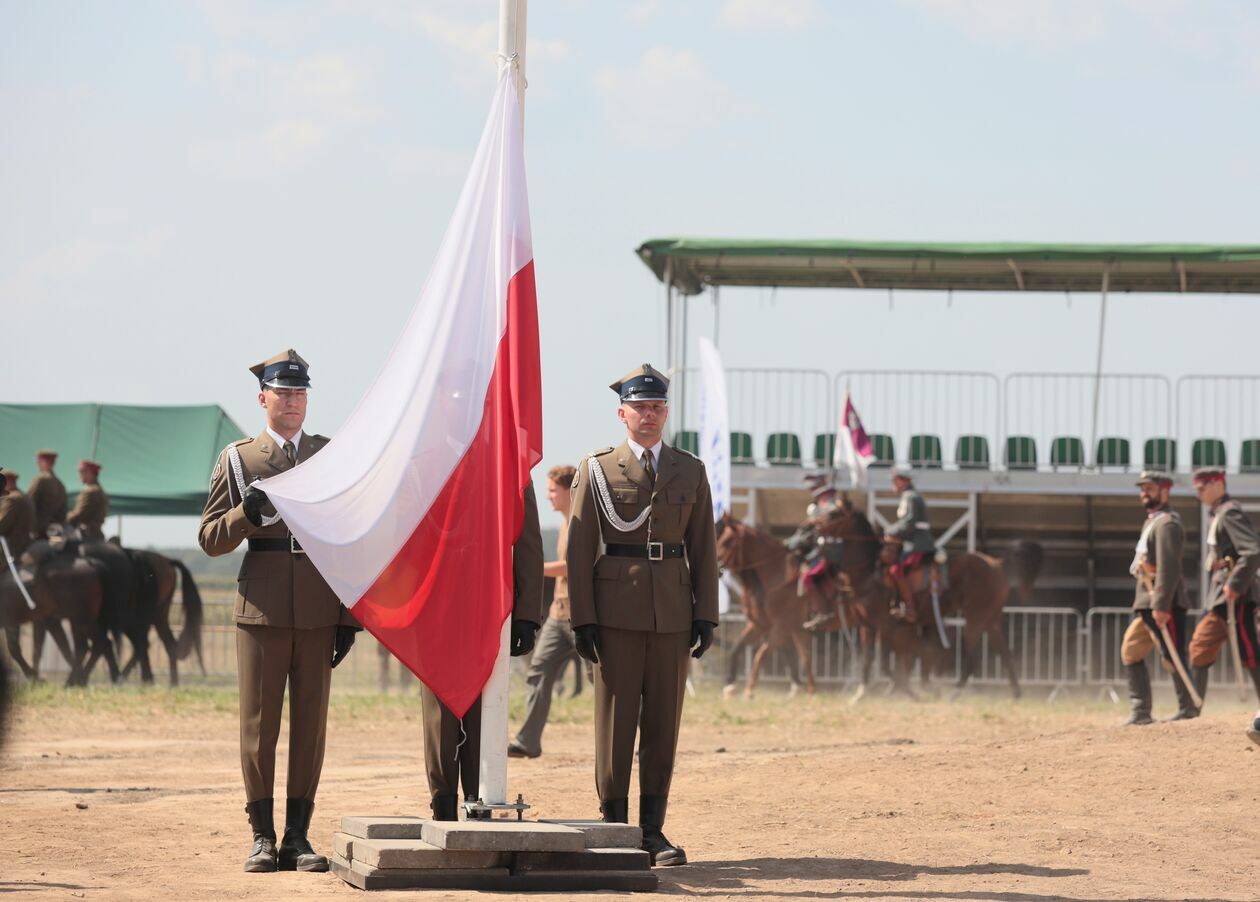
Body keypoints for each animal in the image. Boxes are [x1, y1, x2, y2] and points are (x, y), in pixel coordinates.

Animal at [720, 513, 816, 695]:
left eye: (726, 542)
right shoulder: (761, 624)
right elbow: (737, 647)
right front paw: (729, 686)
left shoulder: (781, 627)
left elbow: (762, 654)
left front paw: (749, 690)